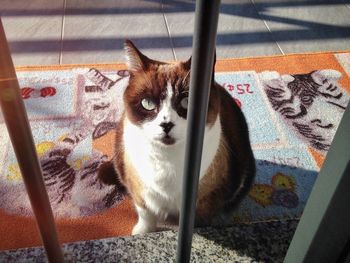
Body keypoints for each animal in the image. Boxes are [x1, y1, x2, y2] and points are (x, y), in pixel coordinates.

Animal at [100, 40, 256, 236]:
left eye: (187, 102)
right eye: (148, 104)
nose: (166, 125)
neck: (167, 160)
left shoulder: (205, 201)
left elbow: (198, 222)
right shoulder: (139, 190)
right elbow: (146, 215)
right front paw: (142, 232)